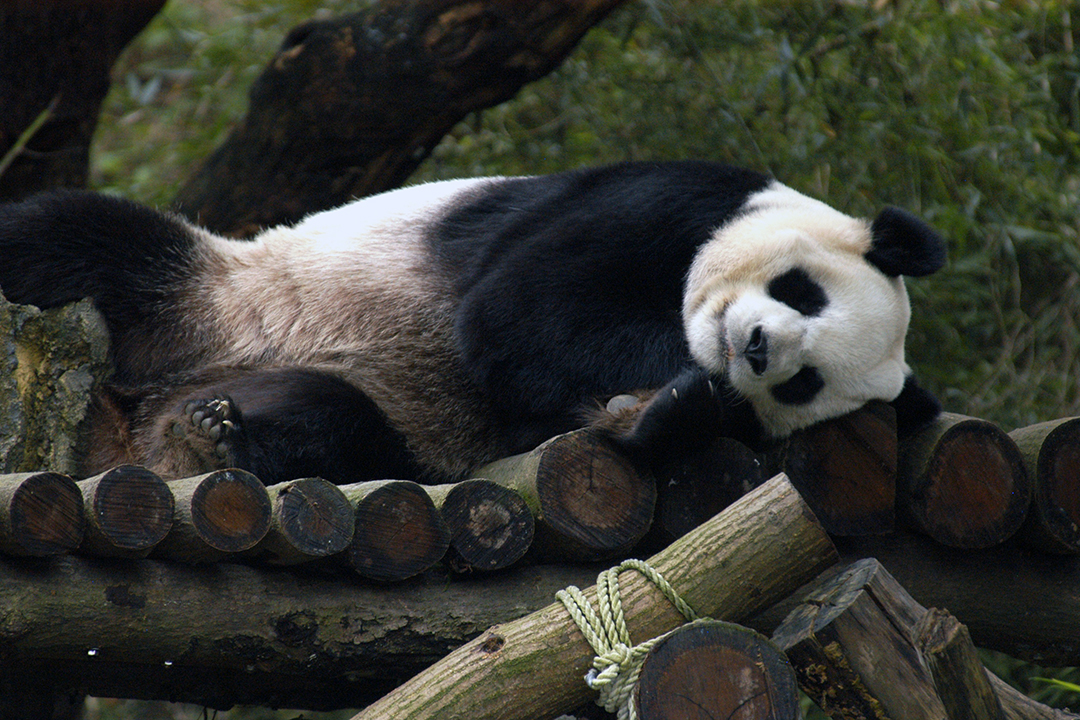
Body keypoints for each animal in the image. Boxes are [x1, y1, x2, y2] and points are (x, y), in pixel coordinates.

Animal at [0, 160, 945, 485]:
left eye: (804, 383)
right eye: (802, 292)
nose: (751, 349)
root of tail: (125, 434)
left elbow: (542, 408)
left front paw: (672, 410)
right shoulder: (672, 199)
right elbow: (519, 312)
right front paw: (677, 381)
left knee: (330, 417)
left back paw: (217, 439)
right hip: (215, 295)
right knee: (72, 240)